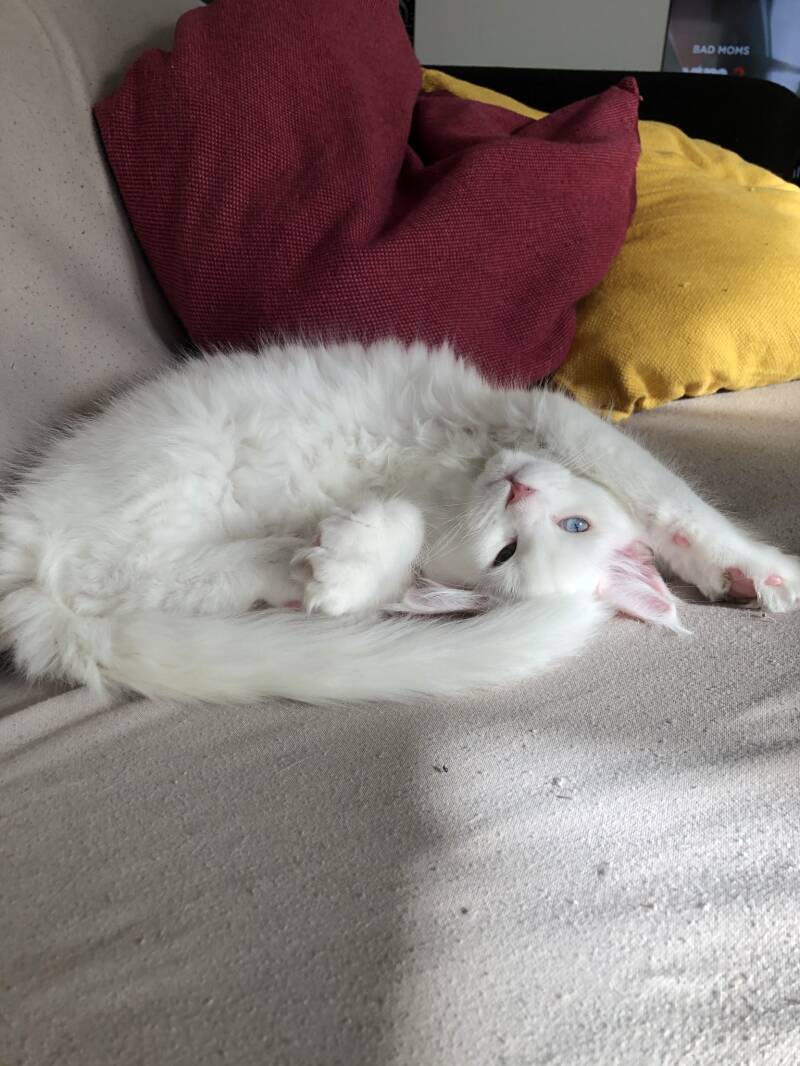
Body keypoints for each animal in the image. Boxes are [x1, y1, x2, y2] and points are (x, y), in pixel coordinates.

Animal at [0, 339, 797, 704]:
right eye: (509, 550)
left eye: (568, 529)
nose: (516, 487)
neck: (454, 481)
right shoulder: (545, 415)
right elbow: (666, 497)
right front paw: (762, 571)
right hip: (176, 471)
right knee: (95, 575)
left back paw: (304, 565)